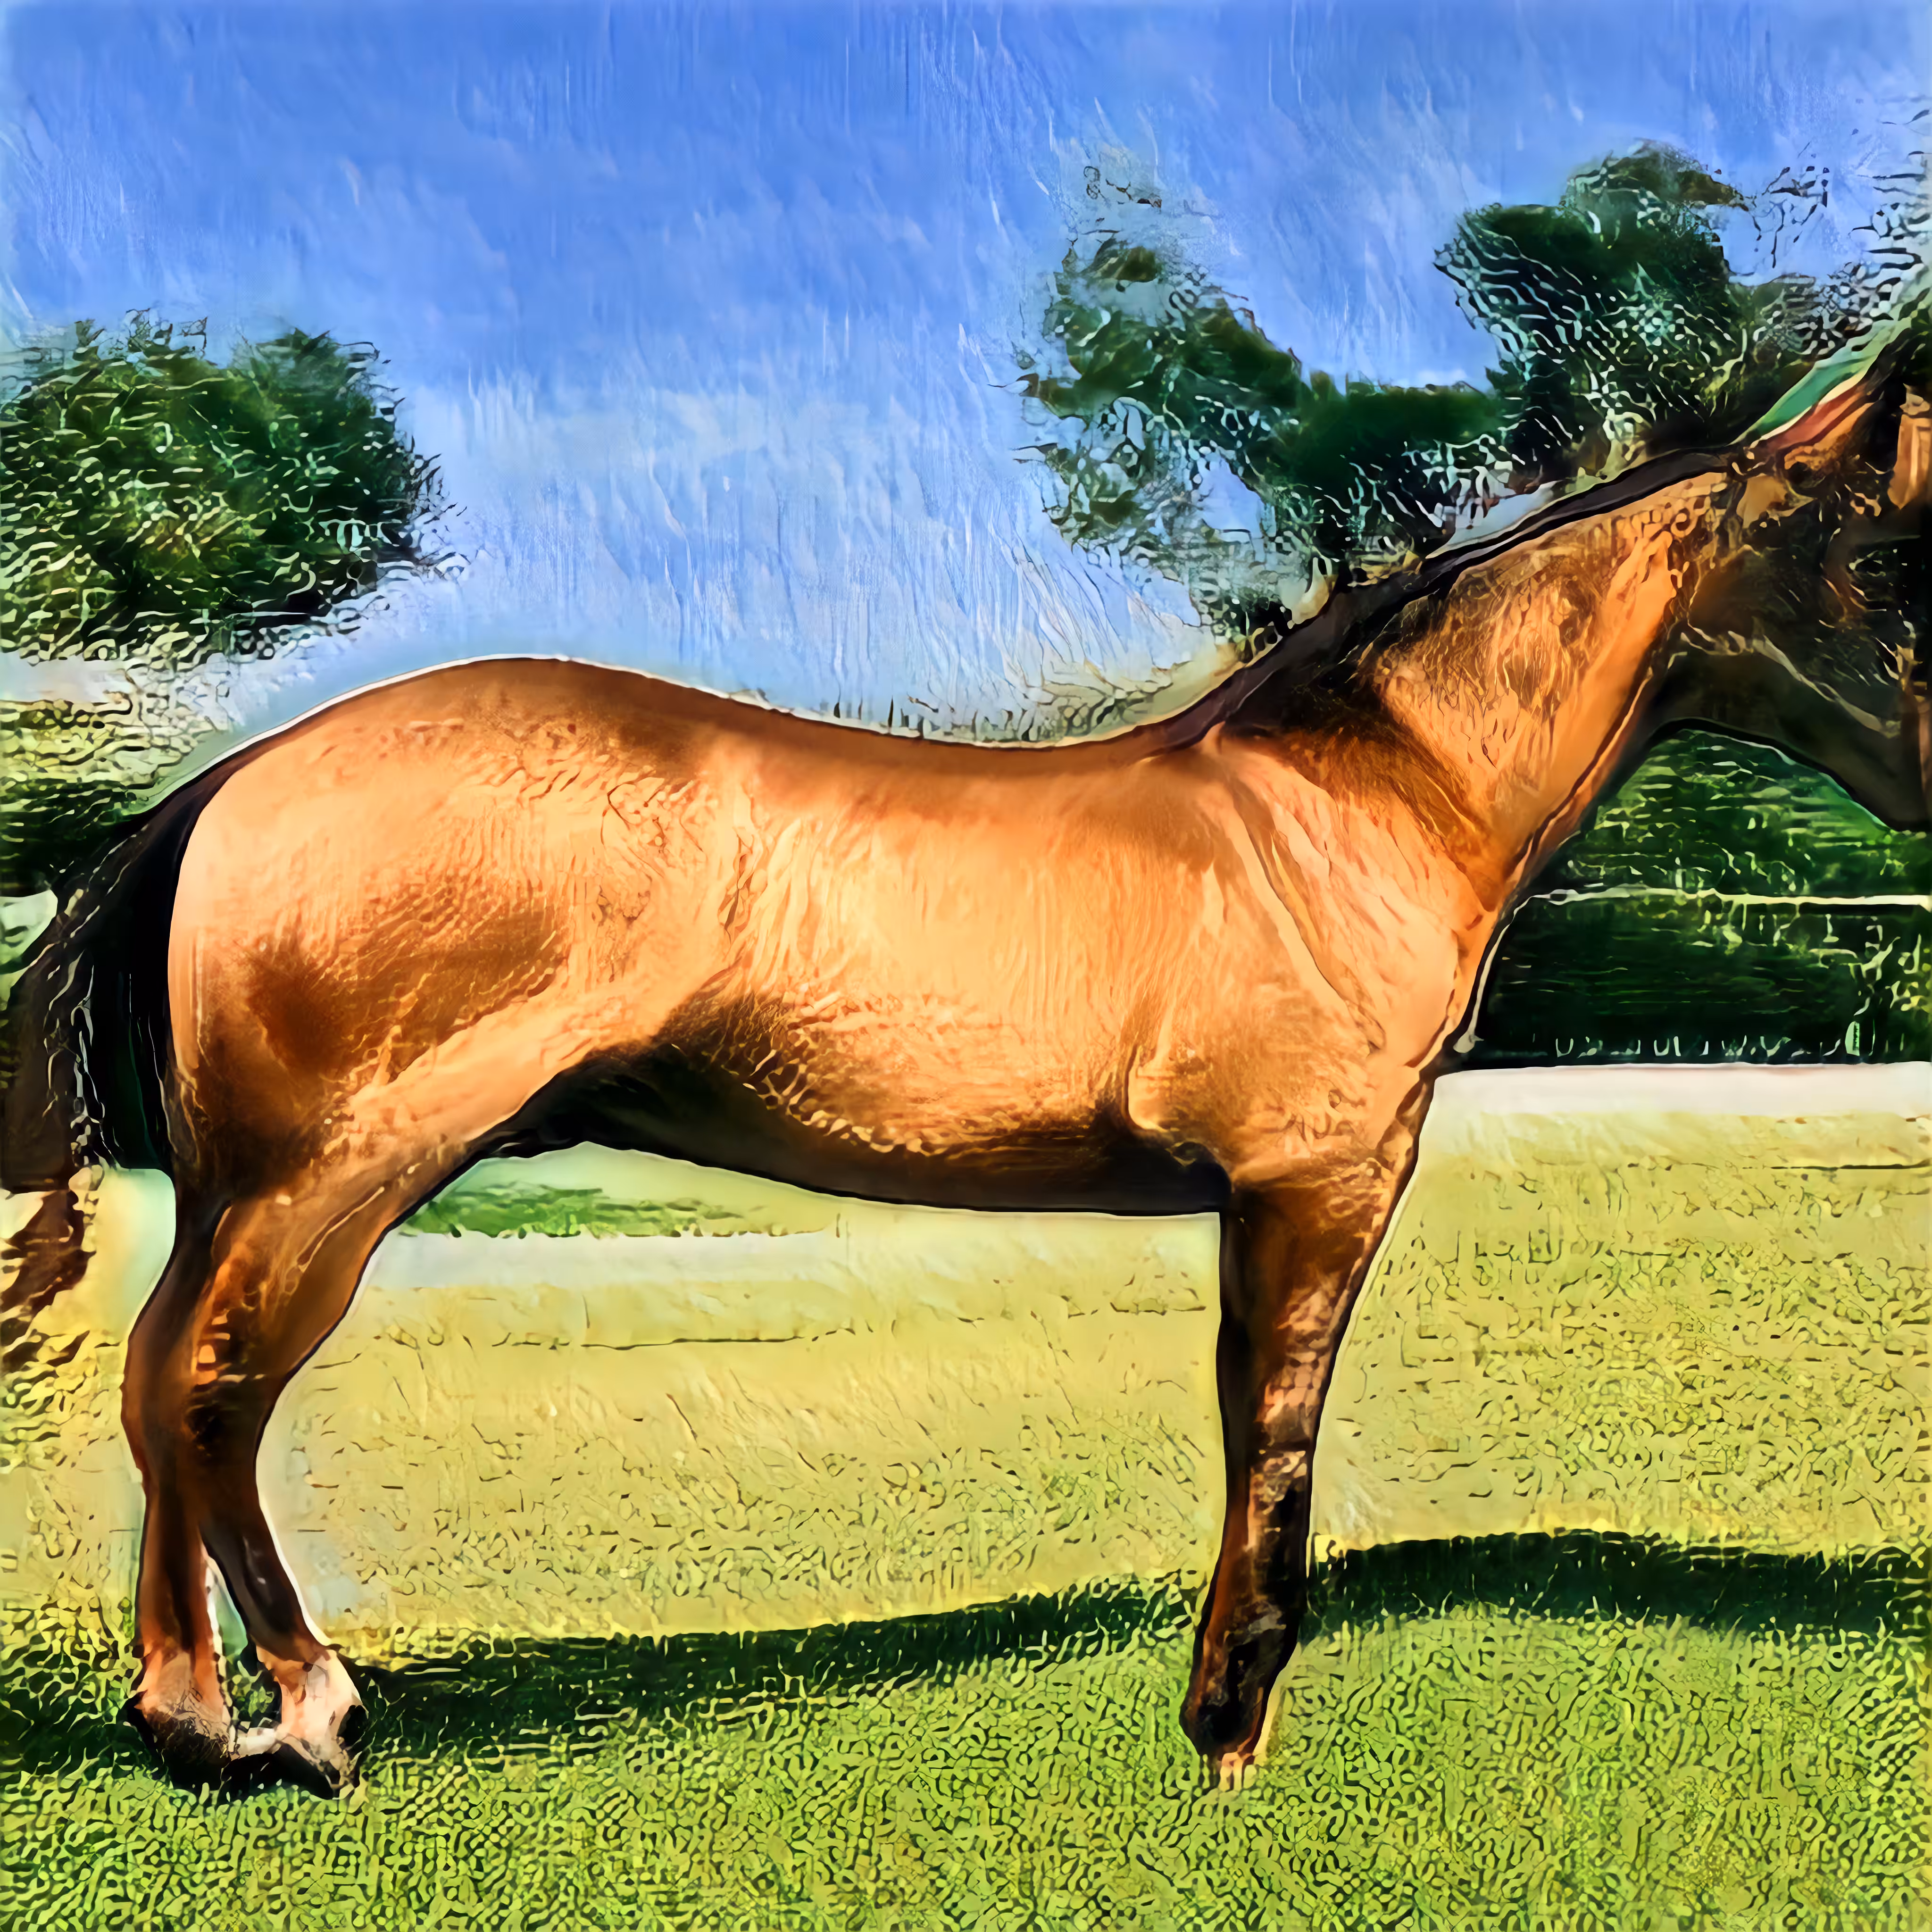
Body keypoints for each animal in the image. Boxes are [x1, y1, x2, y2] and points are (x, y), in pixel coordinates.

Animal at [3, 347, 1925, 1799]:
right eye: (1884, 566)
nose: (1924, 783)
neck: (1352, 803)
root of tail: (226, 785)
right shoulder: (1314, 1183)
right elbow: (1275, 1436)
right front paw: (1225, 1733)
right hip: (333, 1178)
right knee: (213, 1392)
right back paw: (300, 1715)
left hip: (246, 1188)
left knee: (161, 1382)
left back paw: (192, 1719)